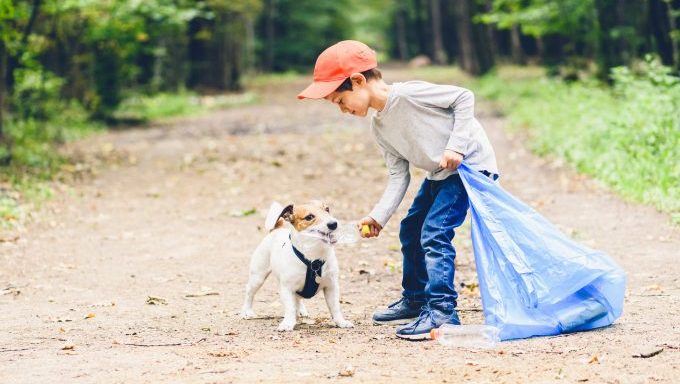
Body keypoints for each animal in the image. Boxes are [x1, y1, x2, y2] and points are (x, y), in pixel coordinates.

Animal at [240, 200, 356, 332]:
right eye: (309, 217)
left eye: (327, 209)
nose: (333, 223)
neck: (313, 260)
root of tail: (276, 229)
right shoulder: (287, 288)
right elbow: (290, 308)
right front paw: (288, 323)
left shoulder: (331, 287)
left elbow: (335, 307)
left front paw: (341, 322)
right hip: (258, 277)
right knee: (249, 292)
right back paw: (247, 311)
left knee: (298, 298)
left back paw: (301, 310)